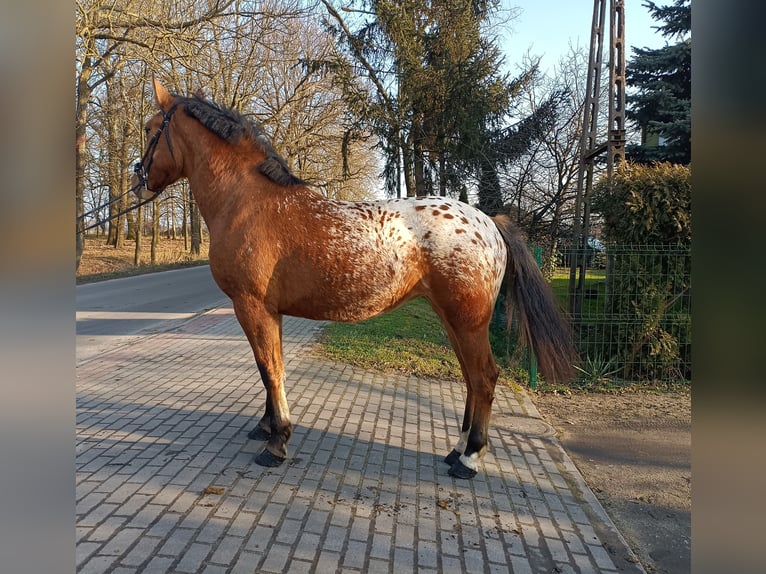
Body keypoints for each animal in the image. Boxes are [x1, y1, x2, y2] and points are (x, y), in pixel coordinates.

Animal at [132, 77, 576, 482]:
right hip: (453, 319)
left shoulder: (251, 305)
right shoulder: (269, 311)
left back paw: (469, 459)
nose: (138, 179)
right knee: (470, 378)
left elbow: (269, 369)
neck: (249, 203)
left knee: (484, 378)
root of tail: (489, 222)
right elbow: (271, 368)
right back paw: (457, 449)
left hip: (467, 321)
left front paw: (276, 443)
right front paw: (266, 427)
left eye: (152, 128)